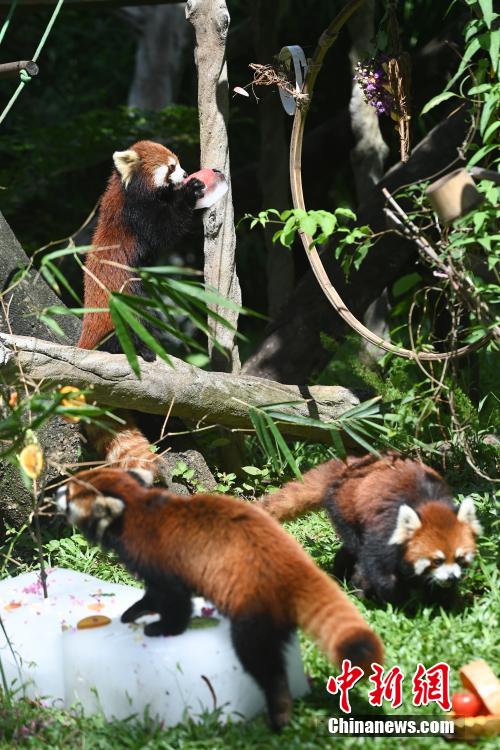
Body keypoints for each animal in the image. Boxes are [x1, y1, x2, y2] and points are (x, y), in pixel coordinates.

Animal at [54, 468, 382, 732]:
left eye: (68, 494)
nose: (55, 490)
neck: (133, 509)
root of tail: (293, 566)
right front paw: (133, 613)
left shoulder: (157, 558)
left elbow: (172, 601)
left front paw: (159, 626)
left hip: (254, 606)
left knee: (260, 658)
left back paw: (278, 715)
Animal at [264, 452, 482, 604]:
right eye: (436, 560)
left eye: (460, 558)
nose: (451, 577)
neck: (426, 503)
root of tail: (350, 465)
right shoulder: (384, 531)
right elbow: (377, 567)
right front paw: (397, 600)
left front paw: (441, 601)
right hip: (346, 509)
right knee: (355, 548)